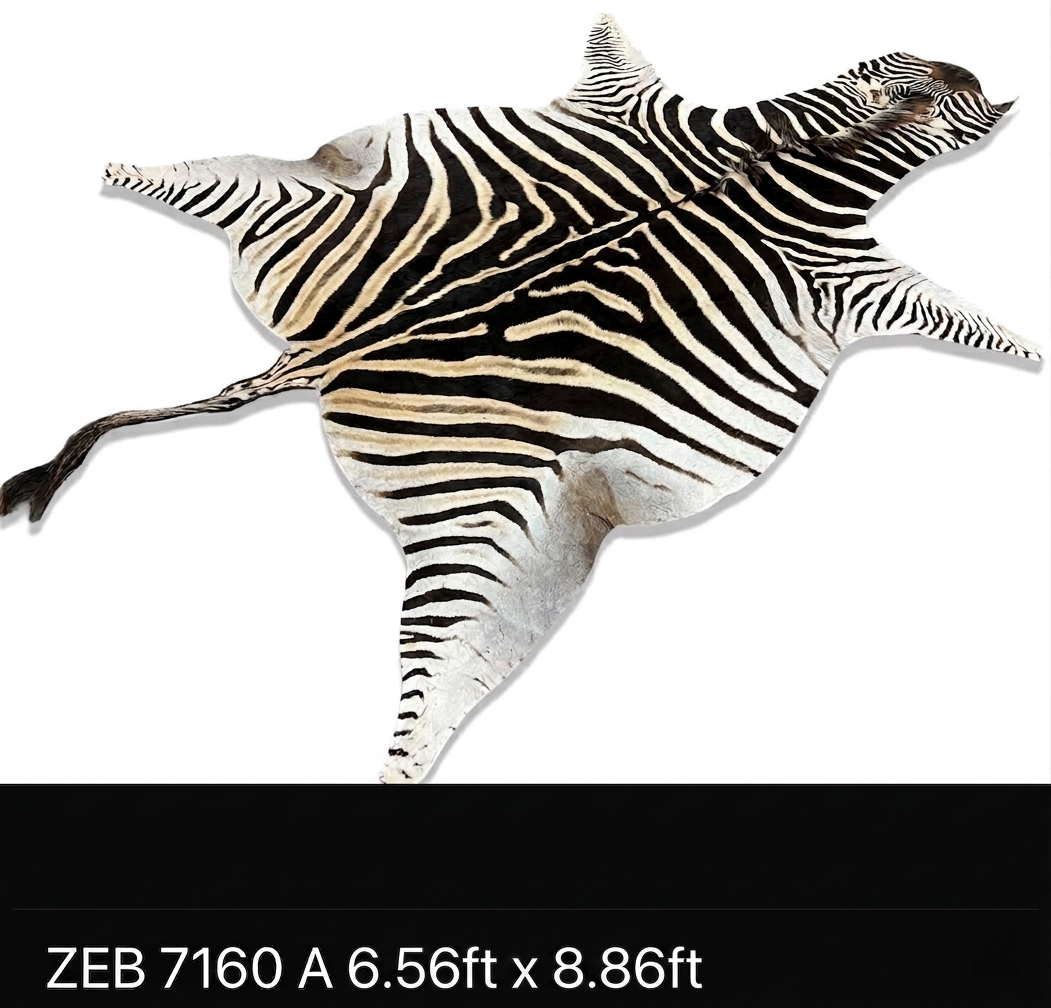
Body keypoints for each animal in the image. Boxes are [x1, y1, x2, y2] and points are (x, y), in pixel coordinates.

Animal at [0, 15, 1038, 783]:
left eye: (927, 83)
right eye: (901, 71)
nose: (964, 62)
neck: (812, 153)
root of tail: (325, 355)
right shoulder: (842, 269)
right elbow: (963, 318)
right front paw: (1028, 347)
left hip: (481, 486)